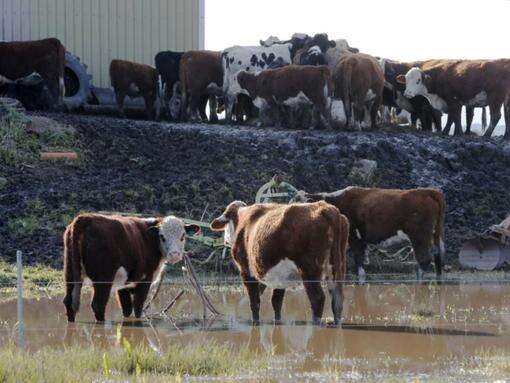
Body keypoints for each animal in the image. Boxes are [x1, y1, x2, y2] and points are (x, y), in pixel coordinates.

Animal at [61, 214, 199, 322]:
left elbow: (126, 308)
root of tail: (85, 218)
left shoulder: (124, 285)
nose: (175, 254)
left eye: (183, 236)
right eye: (162, 236)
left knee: (69, 301)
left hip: (70, 273)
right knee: (98, 304)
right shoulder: (145, 279)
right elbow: (137, 307)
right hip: (103, 278)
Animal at [209, 201, 348, 328]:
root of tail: (326, 208)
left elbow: (254, 301)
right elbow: (276, 301)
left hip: (309, 270)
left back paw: (315, 324)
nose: (225, 240)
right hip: (337, 267)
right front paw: (277, 322)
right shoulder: (280, 275)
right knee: (337, 300)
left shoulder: (246, 271)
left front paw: (255, 323)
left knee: (317, 298)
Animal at [304, 187, 444, 280]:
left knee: (425, 259)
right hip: (436, 234)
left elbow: (358, 264)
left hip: (419, 235)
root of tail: (427, 191)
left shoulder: (355, 237)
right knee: (439, 256)